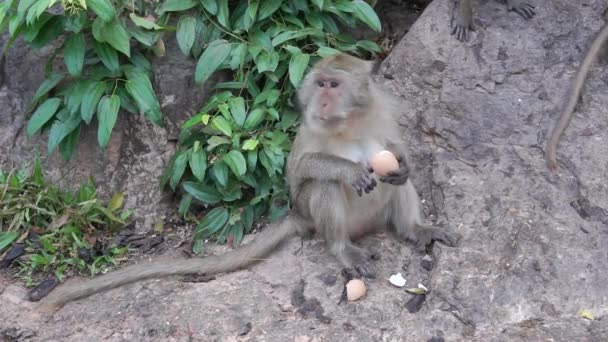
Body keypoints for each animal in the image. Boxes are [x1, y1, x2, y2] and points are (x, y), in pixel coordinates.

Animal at [39, 52, 460, 310]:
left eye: (334, 85)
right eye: (320, 85)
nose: (322, 101)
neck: (350, 122)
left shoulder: (381, 113)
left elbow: (395, 150)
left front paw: (403, 162)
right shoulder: (311, 128)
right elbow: (302, 170)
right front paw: (348, 170)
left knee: (396, 185)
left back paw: (415, 229)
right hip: (317, 216)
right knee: (320, 189)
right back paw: (343, 249)